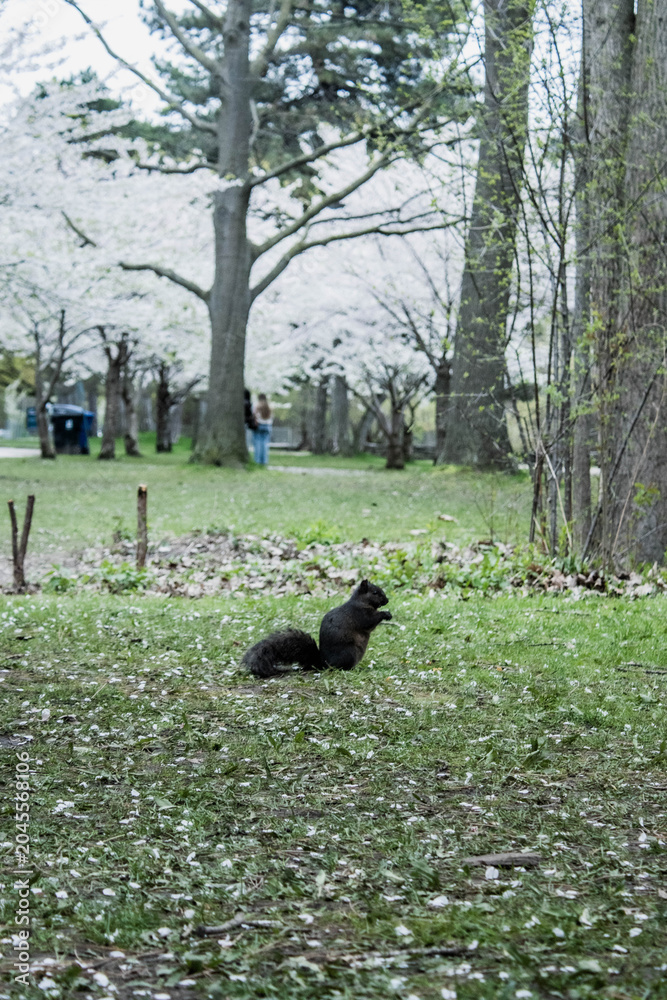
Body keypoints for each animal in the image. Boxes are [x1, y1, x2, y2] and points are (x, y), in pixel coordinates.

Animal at [242, 579, 392, 678]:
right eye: (375, 592)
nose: (387, 600)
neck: (361, 602)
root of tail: (323, 663)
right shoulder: (360, 615)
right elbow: (369, 621)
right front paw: (385, 614)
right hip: (349, 652)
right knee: (342, 668)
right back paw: (357, 670)